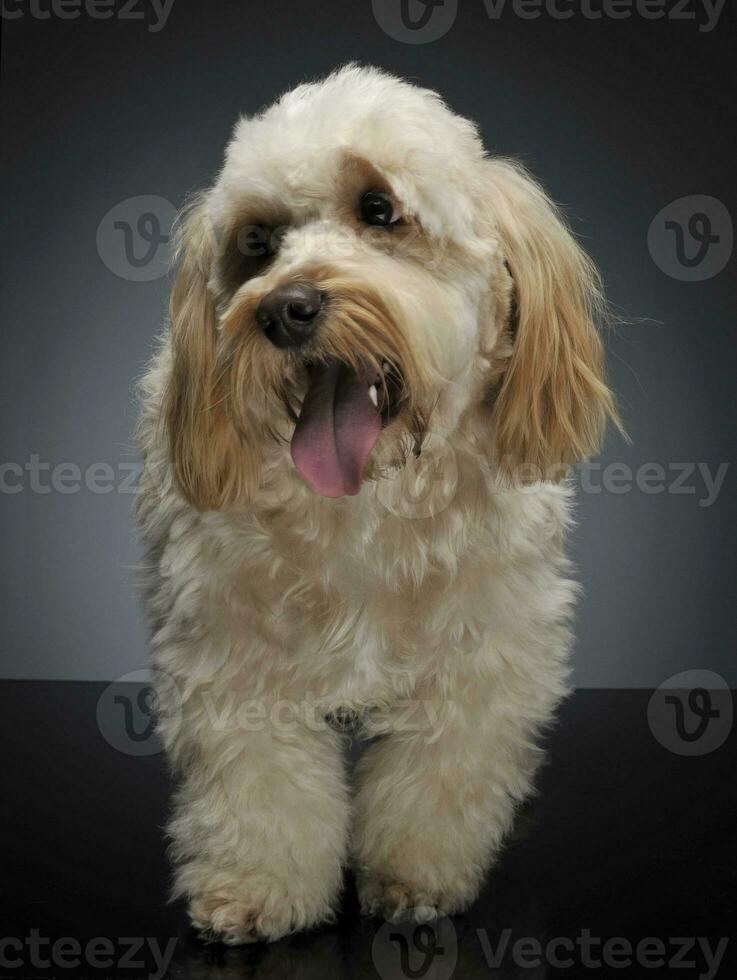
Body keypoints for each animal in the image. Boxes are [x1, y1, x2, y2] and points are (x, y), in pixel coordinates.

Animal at [135, 67, 620, 940]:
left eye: (379, 209)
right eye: (257, 242)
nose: (282, 308)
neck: (367, 503)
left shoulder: (479, 654)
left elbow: (439, 775)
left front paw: (415, 879)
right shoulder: (230, 654)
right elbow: (259, 784)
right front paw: (256, 888)